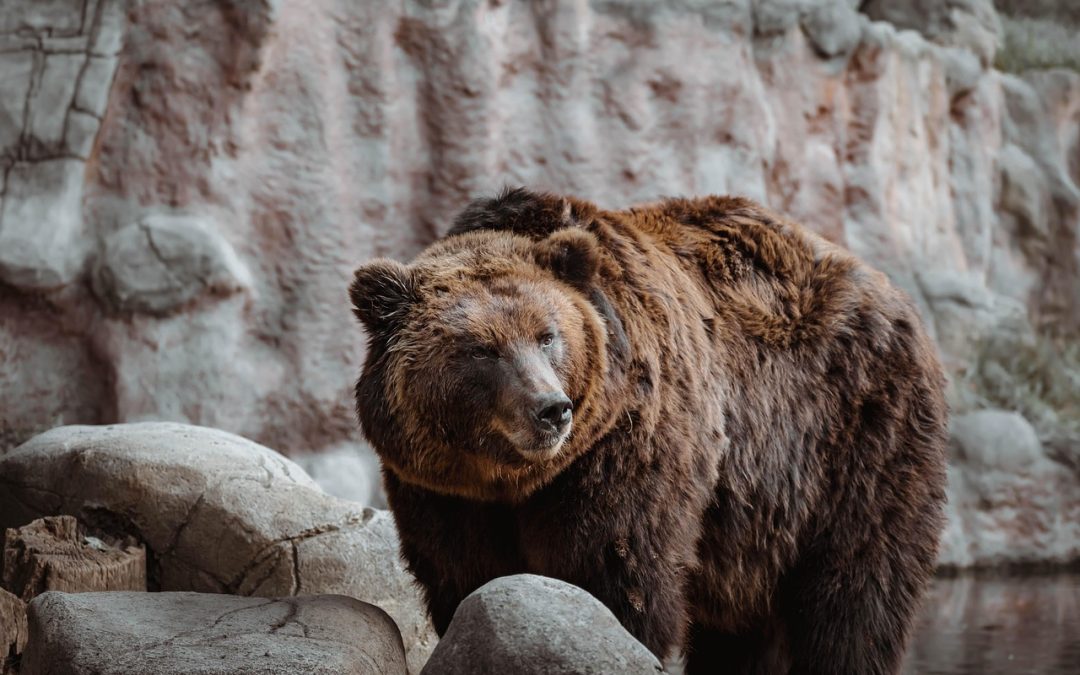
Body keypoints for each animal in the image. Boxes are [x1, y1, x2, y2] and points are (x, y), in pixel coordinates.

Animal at [349, 187, 950, 673]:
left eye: (548, 335)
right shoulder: (442, 490)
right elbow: (464, 576)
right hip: (760, 525)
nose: (551, 409)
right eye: (480, 349)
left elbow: (616, 571)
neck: (512, 479)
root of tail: (892, 292)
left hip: (855, 438)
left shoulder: (626, 446)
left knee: (855, 592)